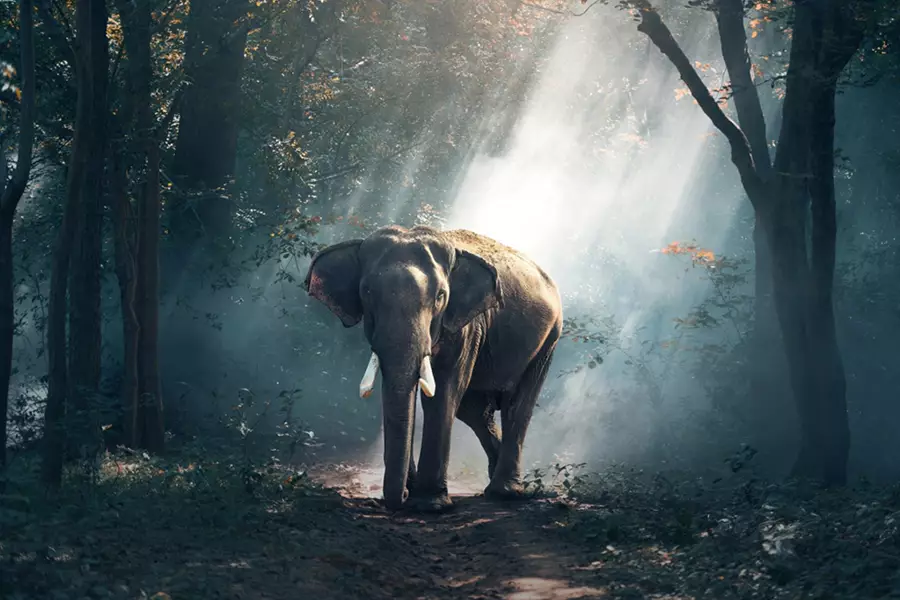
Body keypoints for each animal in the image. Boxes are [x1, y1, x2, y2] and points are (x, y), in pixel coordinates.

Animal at [303, 225, 563, 511]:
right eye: (367, 292)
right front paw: (415, 493)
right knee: (474, 411)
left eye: (440, 296)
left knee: (516, 405)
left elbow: (444, 392)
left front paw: (430, 505)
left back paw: (504, 493)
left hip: (549, 338)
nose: (400, 498)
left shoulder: (465, 326)